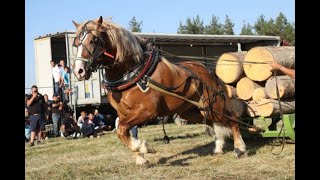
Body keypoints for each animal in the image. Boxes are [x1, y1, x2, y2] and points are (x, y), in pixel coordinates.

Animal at [72, 16, 248, 166]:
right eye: (75, 43)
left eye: (93, 40)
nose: (78, 71)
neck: (135, 73)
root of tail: (209, 72)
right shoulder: (123, 113)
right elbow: (123, 131)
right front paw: (141, 158)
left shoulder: (148, 111)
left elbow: (122, 130)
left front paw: (143, 147)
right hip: (193, 111)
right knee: (212, 122)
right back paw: (218, 147)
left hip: (214, 106)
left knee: (232, 118)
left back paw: (240, 148)